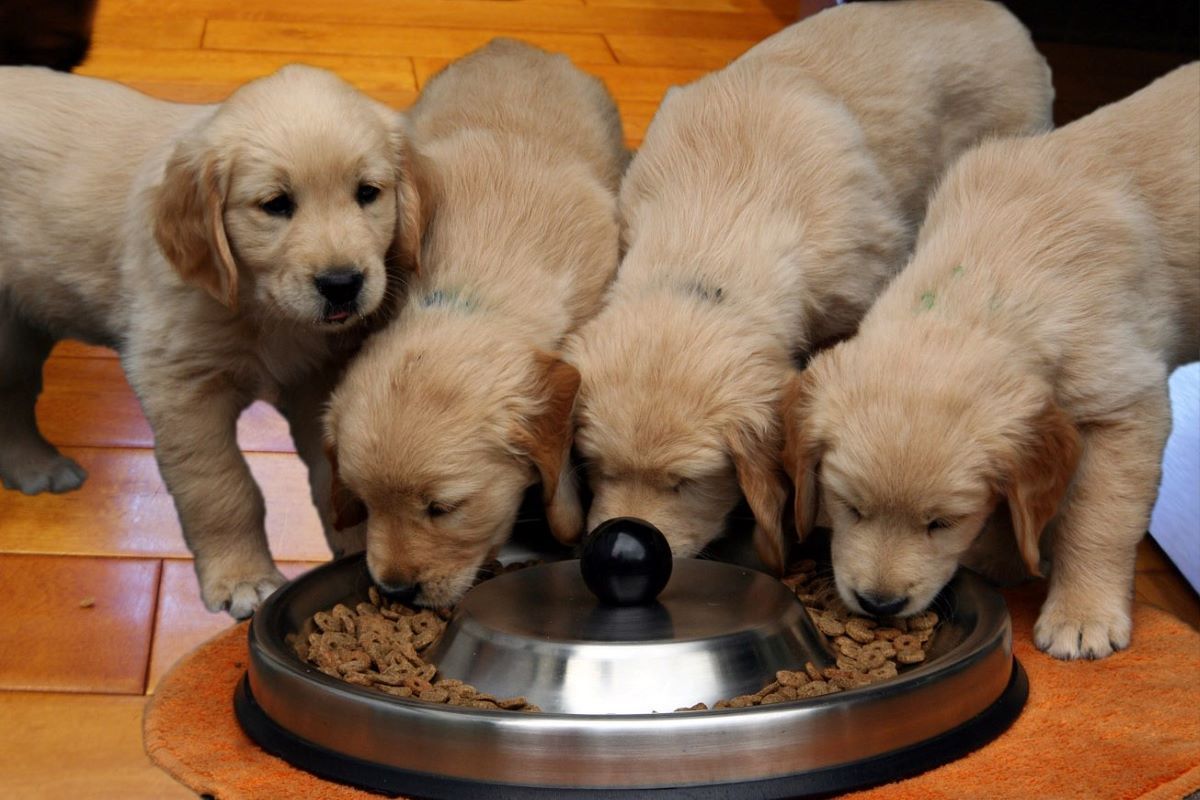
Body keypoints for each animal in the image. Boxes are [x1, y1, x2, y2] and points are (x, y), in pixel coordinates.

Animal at [0, 67, 422, 618]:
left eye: (368, 193)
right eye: (276, 205)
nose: (341, 284)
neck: (258, 305)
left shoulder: (317, 376)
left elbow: (333, 470)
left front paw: (358, 548)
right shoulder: (179, 384)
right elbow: (222, 487)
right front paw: (242, 577)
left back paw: (33, 466)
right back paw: (37, 467)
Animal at [787, 65, 1200, 662]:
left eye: (942, 523)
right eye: (851, 508)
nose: (880, 603)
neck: (986, 282)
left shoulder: (1125, 406)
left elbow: (1098, 520)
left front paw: (1082, 615)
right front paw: (1006, 559)